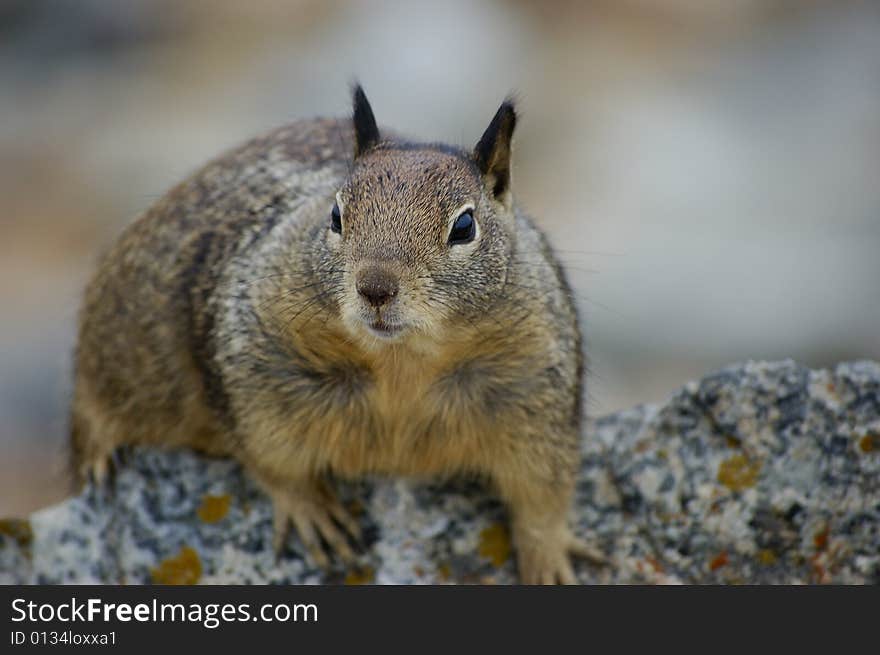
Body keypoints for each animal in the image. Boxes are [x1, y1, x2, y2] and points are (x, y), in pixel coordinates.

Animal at [70, 83, 604, 584]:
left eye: (464, 226)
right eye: (335, 216)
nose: (375, 287)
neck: (401, 363)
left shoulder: (537, 388)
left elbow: (543, 492)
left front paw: (549, 559)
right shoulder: (252, 368)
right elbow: (271, 456)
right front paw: (314, 512)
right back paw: (101, 460)